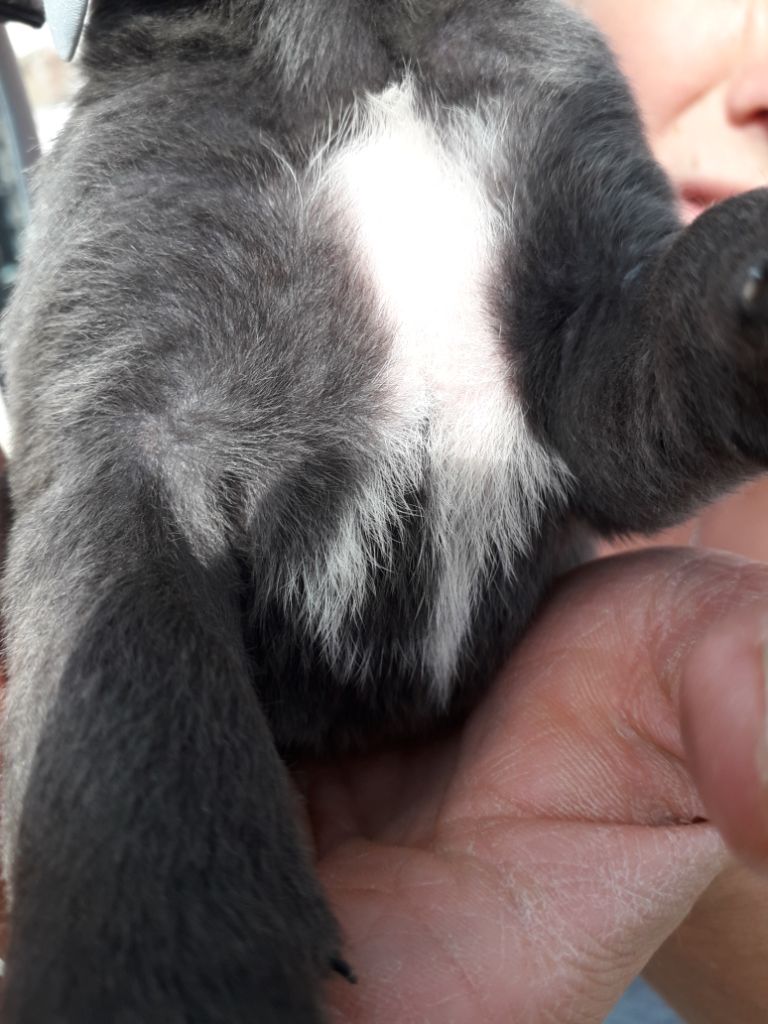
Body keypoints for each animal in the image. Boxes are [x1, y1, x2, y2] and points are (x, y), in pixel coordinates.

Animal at [1, 1, 767, 1020]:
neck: (362, 40)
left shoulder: (592, 337)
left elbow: (671, 311)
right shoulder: (124, 438)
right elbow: (136, 749)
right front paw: (166, 975)